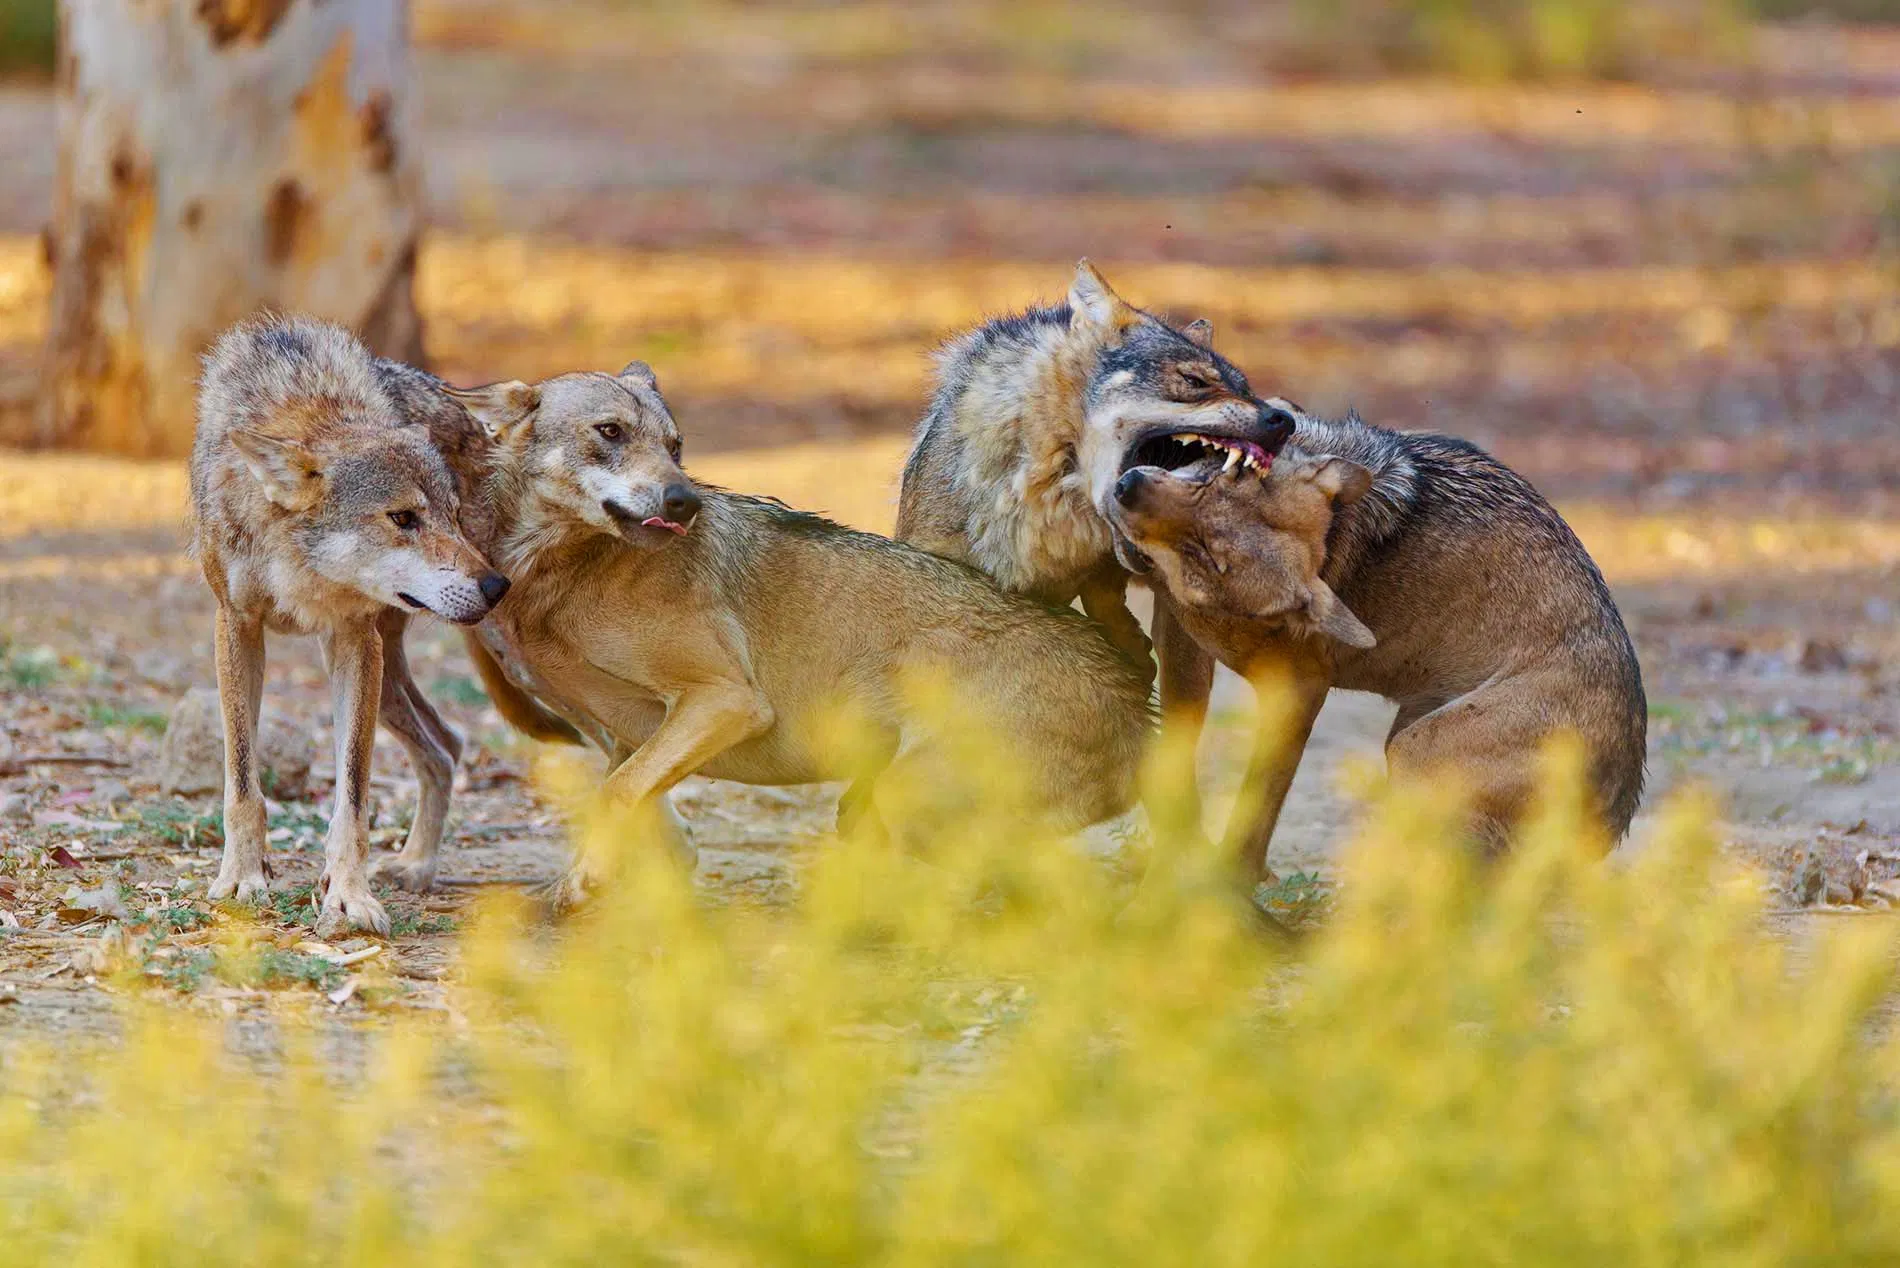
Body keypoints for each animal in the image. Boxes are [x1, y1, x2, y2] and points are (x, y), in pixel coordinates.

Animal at [190, 316, 512, 935]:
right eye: (403, 518)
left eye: (453, 516)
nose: (495, 587)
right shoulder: (236, 626)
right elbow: (242, 782)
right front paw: (241, 879)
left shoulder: (354, 640)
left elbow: (354, 798)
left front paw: (349, 897)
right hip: (389, 683)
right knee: (447, 745)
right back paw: (416, 864)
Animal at [437, 362, 1154, 904]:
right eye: (609, 432)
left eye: (675, 447)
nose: (684, 502)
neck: (567, 570)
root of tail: (1134, 695)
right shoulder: (624, 733)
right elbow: (637, 806)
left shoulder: (727, 701)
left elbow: (617, 795)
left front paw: (586, 881)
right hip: (878, 807)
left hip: (907, 797)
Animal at [1104, 409, 1648, 877]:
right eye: (1221, 475)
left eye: (1210, 556)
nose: (1126, 488)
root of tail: (1614, 818)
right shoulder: (1180, 639)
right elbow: (1178, 762)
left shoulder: (1301, 689)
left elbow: (1258, 805)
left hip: (1413, 751)